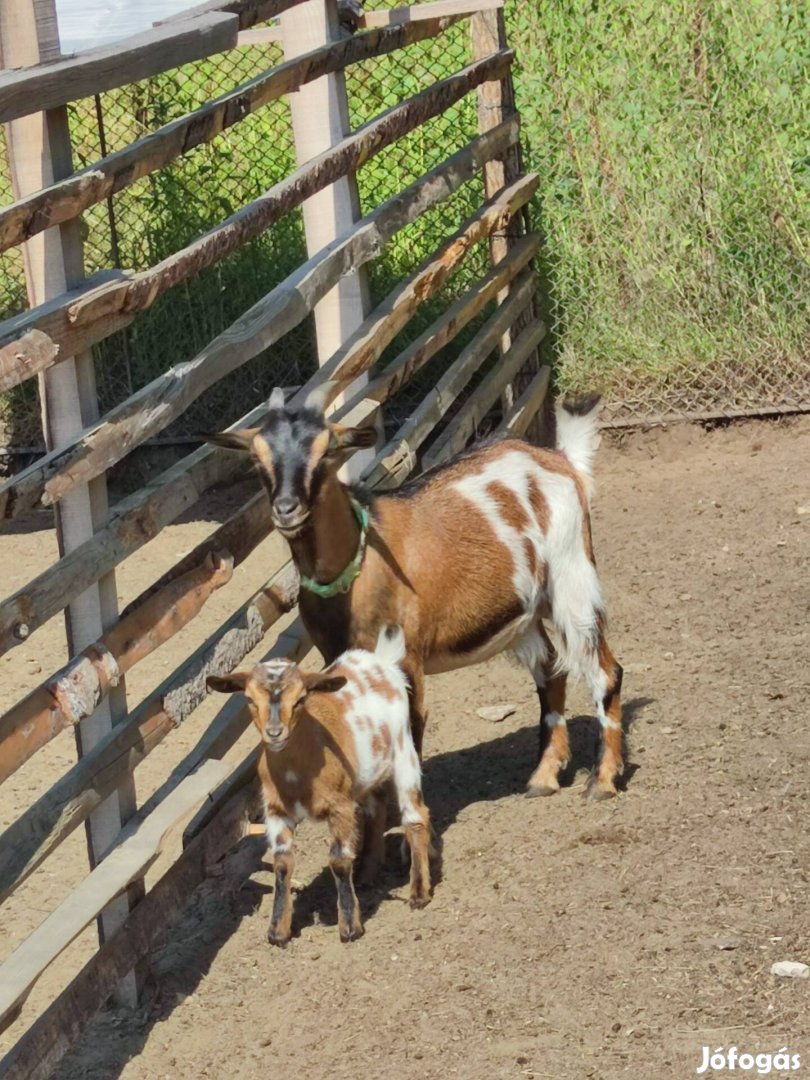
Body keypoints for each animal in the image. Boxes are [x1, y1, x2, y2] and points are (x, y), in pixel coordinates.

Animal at [207, 626, 432, 946]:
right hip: (365, 777)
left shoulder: (339, 807)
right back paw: (367, 874)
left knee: (415, 816)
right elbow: (282, 862)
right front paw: (278, 931)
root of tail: (381, 661)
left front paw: (350, 927)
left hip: (403, 751)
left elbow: (338, 859)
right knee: (375, 809)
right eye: (249, 699)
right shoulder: (276, 811)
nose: (275, 733)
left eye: (301, 698)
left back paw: (419, 893)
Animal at [210, 388, 626, 803]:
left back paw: (602, 780)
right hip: (526, 611)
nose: (286, 509)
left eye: (327, 451)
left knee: (605, 671)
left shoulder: (405, 659)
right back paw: (543, 776)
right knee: (552, 670)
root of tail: (559, 459)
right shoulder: (338, 659)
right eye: (257, 457)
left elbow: (407, 736)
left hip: (572, 576)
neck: (359, 565)